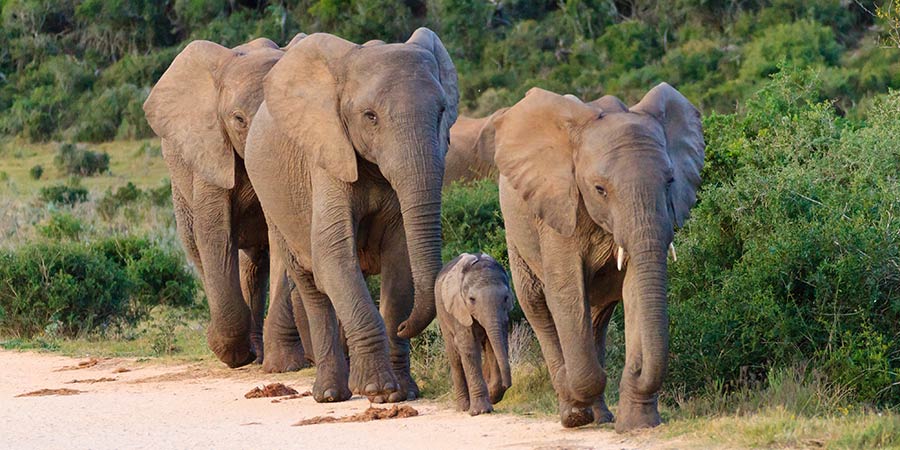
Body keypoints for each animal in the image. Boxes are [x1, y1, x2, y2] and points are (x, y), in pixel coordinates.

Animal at [143, 35, 314, 371]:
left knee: (255, 264)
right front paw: (229, 352)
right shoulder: (210, 152)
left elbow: (281, 239)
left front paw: (284, 364)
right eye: (238, 120)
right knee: (199, 248)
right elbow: (214, 234)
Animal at [244, 28, 459, 404]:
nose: (406, 327)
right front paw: (377, 390)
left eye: (442, 111)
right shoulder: (326, 157)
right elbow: (333, 257)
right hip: (273, 203)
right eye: (370, 116)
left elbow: (400, 261)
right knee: (312, 286)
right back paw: (331, 394)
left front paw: (402, 392)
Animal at [435, 253, 513, 415]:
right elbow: (470, 349)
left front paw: (492, 396)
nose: (507, 385)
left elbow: (494, 346)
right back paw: (464, 407)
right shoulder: (459, 308)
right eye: (472, 299)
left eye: (505, 298)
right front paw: (480, 411)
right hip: (441, 312)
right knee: (455, 358)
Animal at [493, 84, 704, 432]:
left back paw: (601, 415)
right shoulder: (559, 208)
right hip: (516, 229)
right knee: (536, 304)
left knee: (597, 314)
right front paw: (578, 406)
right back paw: (573, 412)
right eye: (599, 189)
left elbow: (634, 289)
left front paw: (637, 424)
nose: (636, 370)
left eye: (670, 182)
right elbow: (565, 292)